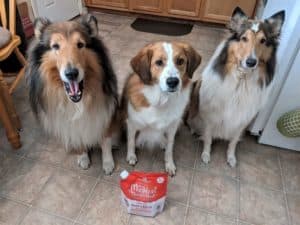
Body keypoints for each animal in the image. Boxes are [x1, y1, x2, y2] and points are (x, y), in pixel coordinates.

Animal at [25, 14, 118, 175]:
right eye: (55, 46)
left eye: (80, 44)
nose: (71, 74)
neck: (77, 101)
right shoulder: (69, 124)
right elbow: (78, 137)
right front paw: (83, 157)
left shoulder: (105, 115)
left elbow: (105, 140)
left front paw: (107, 163)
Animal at [122, 42, 202, 176]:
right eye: (159, 62)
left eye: (180, 61)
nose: (173, 82)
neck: (161, 98)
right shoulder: (132, 122)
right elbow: (131, 141)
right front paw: (131, 156)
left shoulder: (172, 126)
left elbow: (170, 147)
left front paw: (169, 164)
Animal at [189, 7, 284, 167]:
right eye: (244, 38)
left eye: (263, 40)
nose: (251, 62)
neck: (241, 81)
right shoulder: (211, 115)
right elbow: (208, 138)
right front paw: (206, 154)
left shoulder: (242, 119)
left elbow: (233, 142)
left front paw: (231, 157)